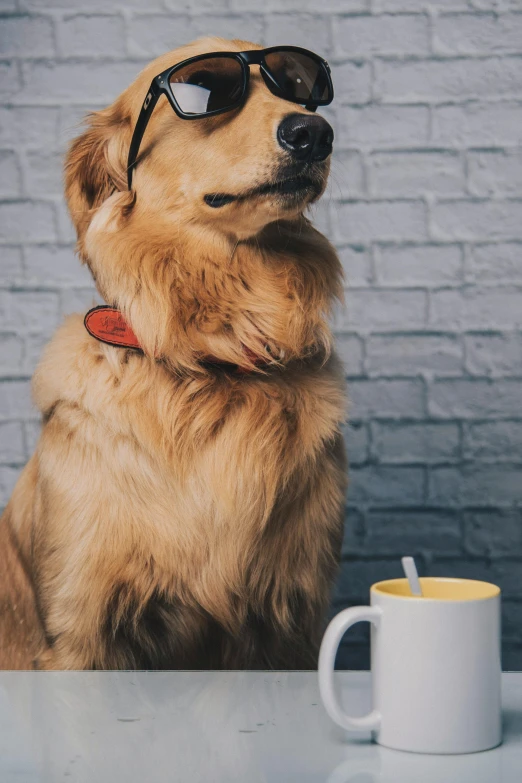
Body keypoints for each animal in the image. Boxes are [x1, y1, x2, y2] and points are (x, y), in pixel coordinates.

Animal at [1, 36, 350, 672]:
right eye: (207, 89)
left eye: (298, 83)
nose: (313, 132)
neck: (216, 352)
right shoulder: (79, 630)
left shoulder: (290, 623)